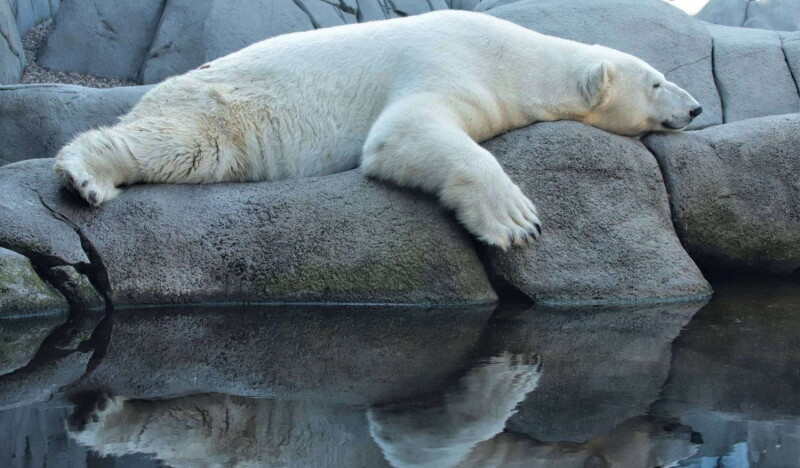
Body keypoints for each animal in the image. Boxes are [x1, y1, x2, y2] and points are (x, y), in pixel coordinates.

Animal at [54, 9, 700, 249]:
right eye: (658, 82)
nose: (695, 109)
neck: (514, 58)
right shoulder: (447, 62)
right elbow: (404, 132)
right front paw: (516, 222)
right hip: (221, 108)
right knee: (182, 145)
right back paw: (86, 175)